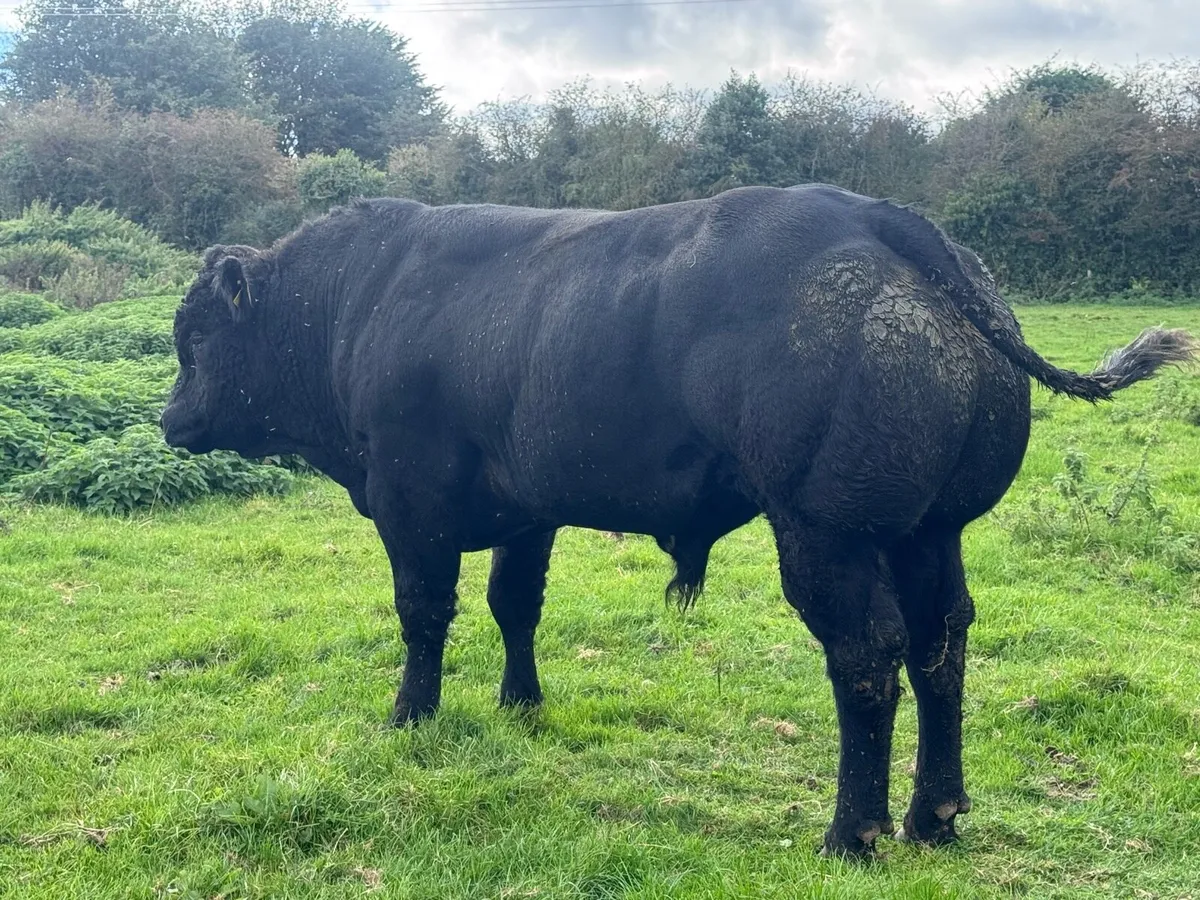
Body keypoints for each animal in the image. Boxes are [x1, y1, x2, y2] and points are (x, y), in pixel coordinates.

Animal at [160, 184, 1194, 857]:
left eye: (195, 337)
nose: (170, 420)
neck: (356, 301)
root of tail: (872, 216)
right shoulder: (523, 510)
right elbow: (514, 606)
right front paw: (521, 704)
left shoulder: (410, 504)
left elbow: (424, 616)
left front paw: (411, 717)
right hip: (928, 531)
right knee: (943, 645)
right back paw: (931, 818)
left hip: (825, 531)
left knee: (868, 655)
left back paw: (850, 831)